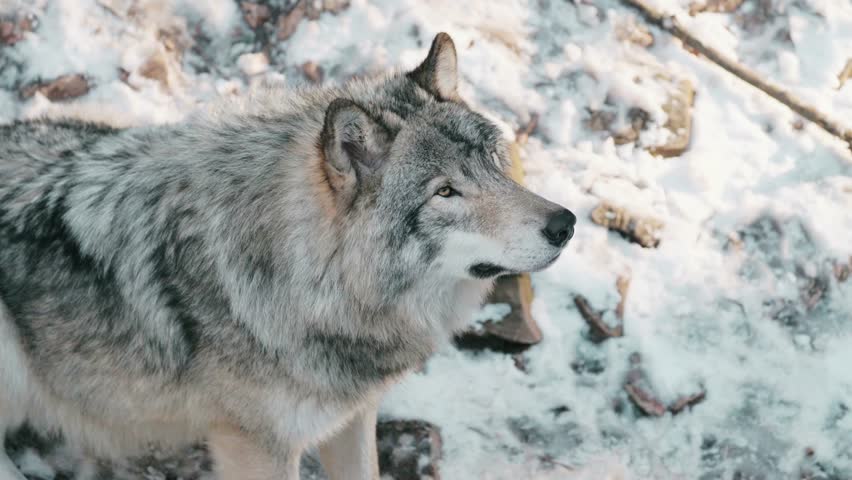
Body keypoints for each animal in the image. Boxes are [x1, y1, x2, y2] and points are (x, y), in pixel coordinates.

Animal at [0, 33, 575, 479]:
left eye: (493, 162)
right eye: (445, 192)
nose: (565, 224)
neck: (311, 282)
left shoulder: (352, 417)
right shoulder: (257, 447)